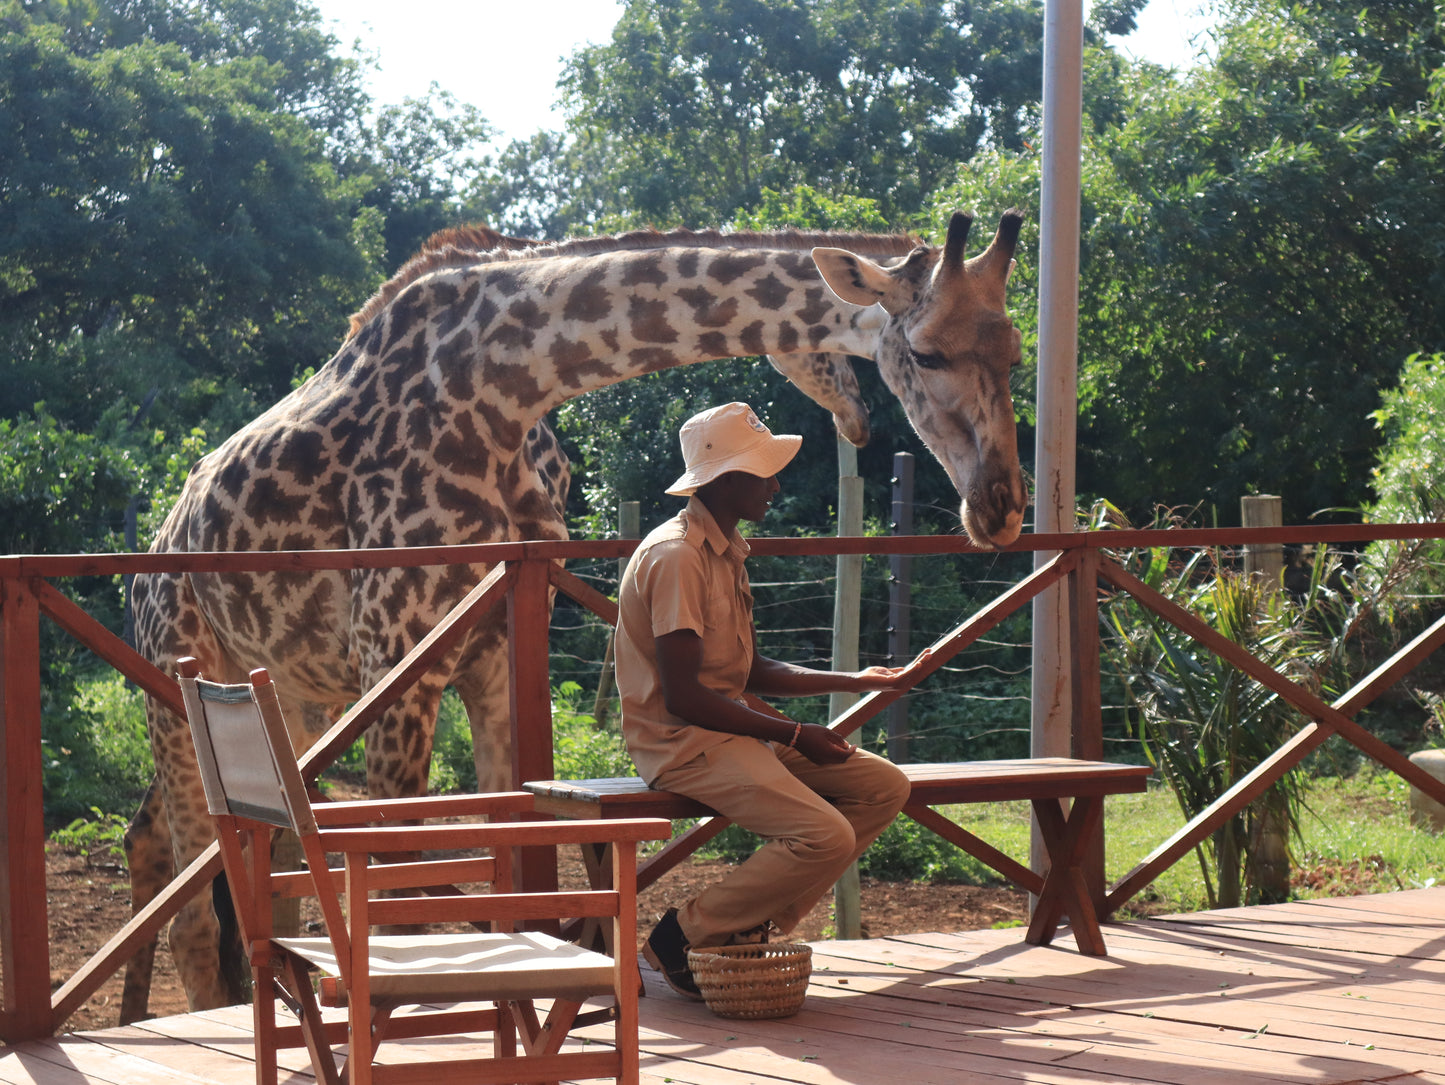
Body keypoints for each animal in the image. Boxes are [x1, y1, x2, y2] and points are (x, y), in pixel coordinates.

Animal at [121, 209, 1028, 1017]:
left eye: (1016, 349)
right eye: (925, 351)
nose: (1001, 509)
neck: (503, 390)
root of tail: (162, 534)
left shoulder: (494, 648)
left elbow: (512, 867)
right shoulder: (400, 655)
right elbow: (406, 884)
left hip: (293, 693)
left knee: (224, 856)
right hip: (177, 677)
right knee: (191, 902)